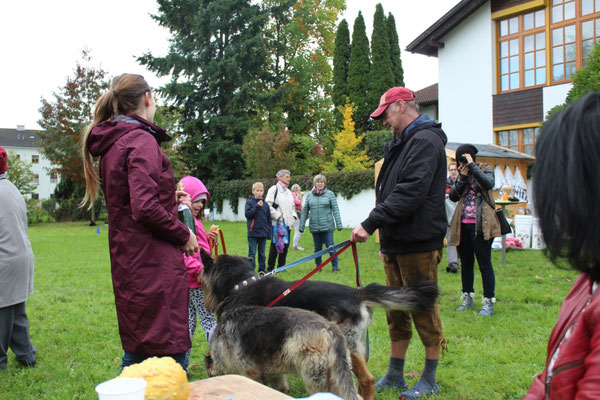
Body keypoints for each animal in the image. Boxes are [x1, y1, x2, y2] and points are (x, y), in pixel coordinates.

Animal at [206, 304, 358, 398]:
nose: (209, 376)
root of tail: (330, 328)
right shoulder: (274, 373)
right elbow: (279, 386)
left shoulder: (249, 371)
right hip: (337, 374)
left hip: (313, 375)